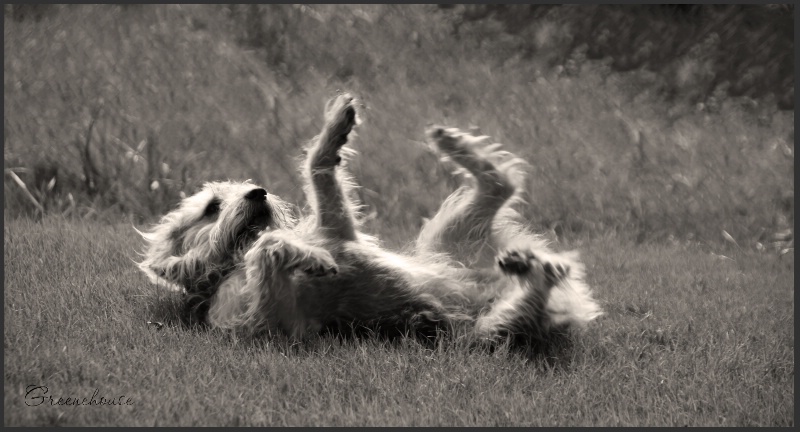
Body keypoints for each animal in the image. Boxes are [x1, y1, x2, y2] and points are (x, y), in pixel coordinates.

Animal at [138, 93, 600, 344]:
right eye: (212, 207)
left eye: (247, 185)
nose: (259, 193)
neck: (231, 263)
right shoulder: (280, 324)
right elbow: (269, 248)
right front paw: (308, 258)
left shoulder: (337, 224)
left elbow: (320, 170)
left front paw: (336, 129)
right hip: (492, 327)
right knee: (535, 280)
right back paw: (531, 267)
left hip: (448, 238)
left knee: (500, 182)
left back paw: (451, 143)